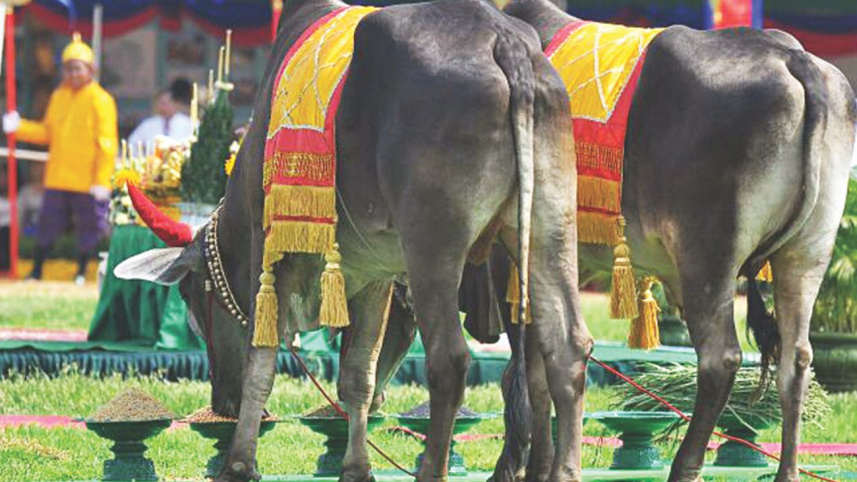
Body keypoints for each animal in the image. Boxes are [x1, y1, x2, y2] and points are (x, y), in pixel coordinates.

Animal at [114, 0, 591, 481]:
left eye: (192, 300)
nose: (220, 401)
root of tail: (501, 37)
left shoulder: (268, 250)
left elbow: (260, 364)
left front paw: (238, 462)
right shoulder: (374, 276)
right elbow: (358, 376)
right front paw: (357, 467)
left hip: (433, 247)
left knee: (451, 360)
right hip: (547, 230)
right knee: (566, 348)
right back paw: (563, 468)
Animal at [479, 1, 857, 481]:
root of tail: (792, 56)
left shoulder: (510, 251)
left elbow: (528, 365)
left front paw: (523, 467)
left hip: (707, 255)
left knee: (721, 358)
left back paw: (685, 465)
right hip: (808, 253)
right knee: (797, 357)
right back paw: (786, 471)